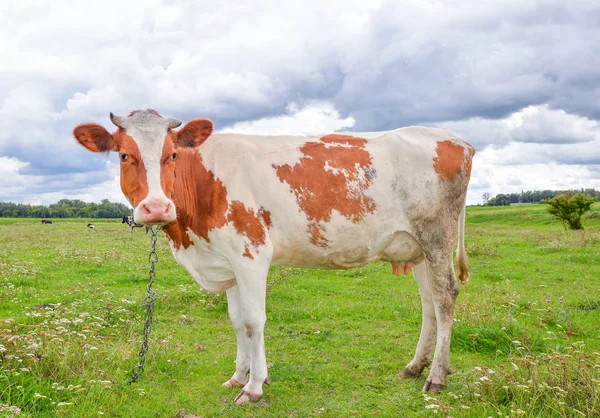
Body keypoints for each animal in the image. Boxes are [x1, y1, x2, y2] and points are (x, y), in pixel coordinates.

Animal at [72, 109, 476, 404]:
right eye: (125, 155)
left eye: (172, 154)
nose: (156, 208)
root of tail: (456, 138)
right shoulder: (227, 260)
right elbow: (236, 322)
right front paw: (238, 377)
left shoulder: (250, 254)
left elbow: (254, 321)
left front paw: (255, 387)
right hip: (418, 247)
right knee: (429, 303)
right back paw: (415, 367)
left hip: (437, 237)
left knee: (445, 297)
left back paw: (436, 377)